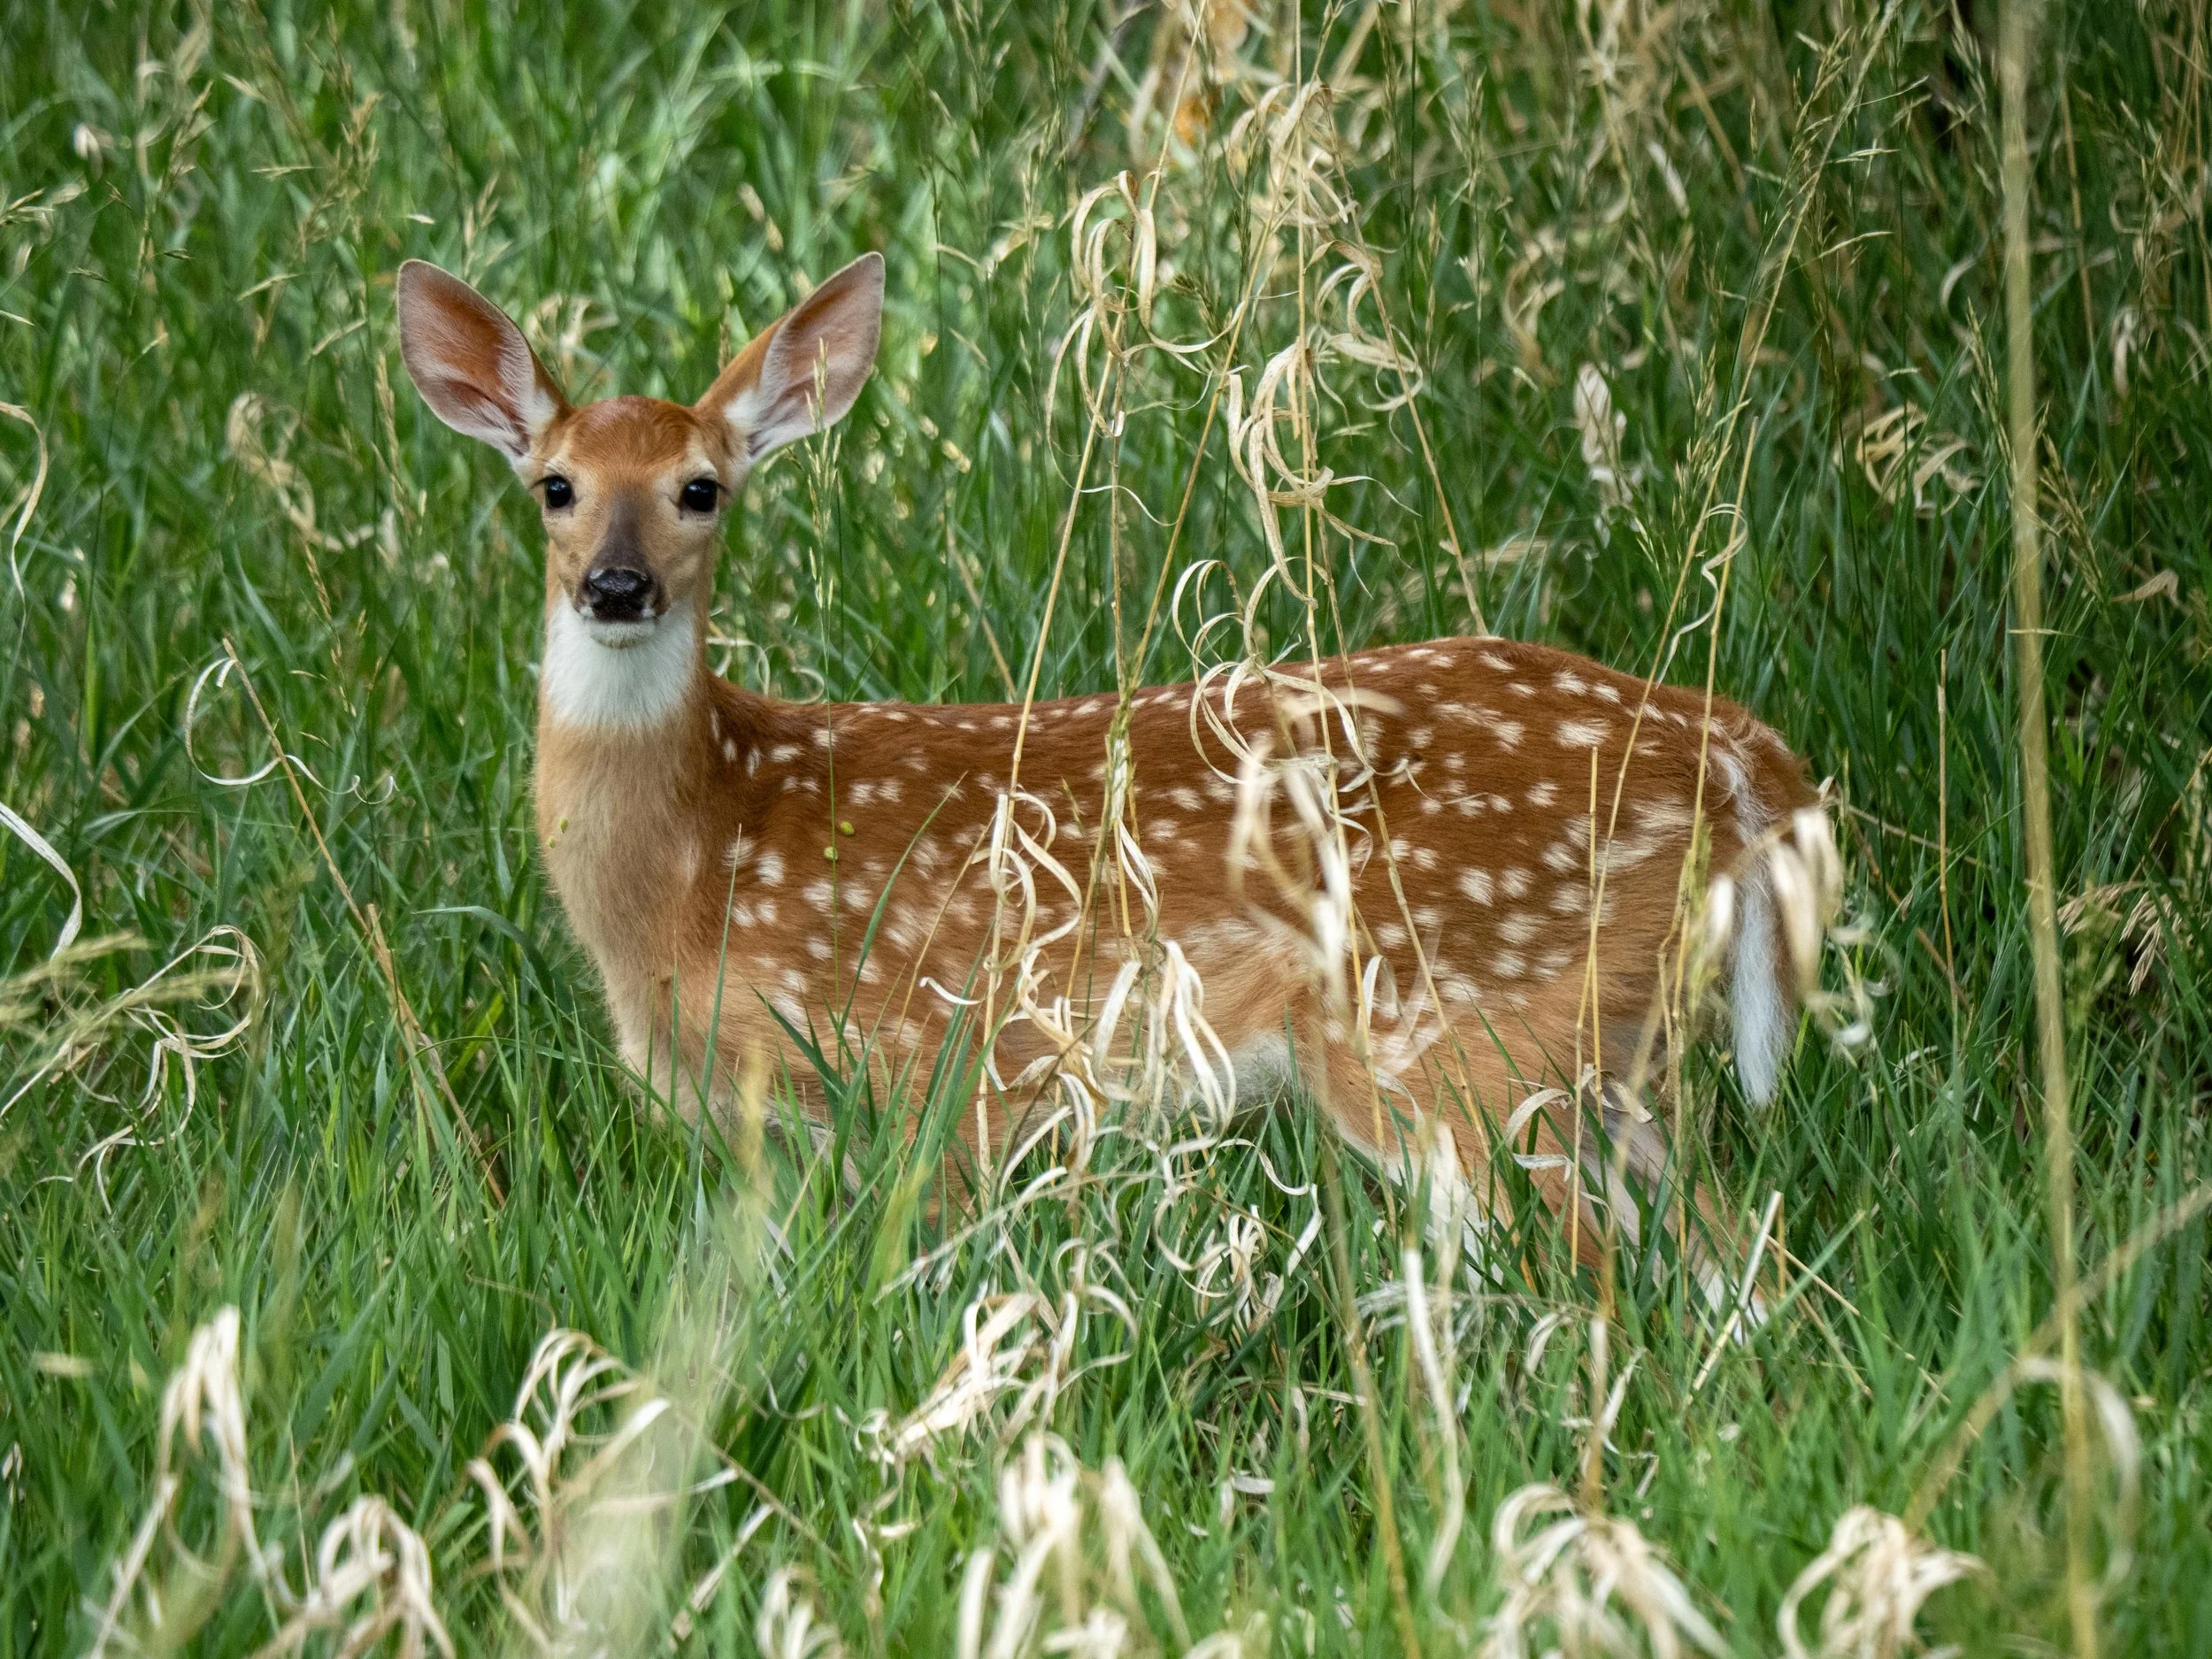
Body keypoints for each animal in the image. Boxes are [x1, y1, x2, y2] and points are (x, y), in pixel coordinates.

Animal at [395, 250, 1836, 1286]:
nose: (615, 587)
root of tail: (1727, 742)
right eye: (555, 485)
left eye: (702, 487)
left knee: (1586, 1283)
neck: (700, 859)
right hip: (1605, 1044)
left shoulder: (939, 1063)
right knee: (1740, 1264)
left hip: (1451, 1029)